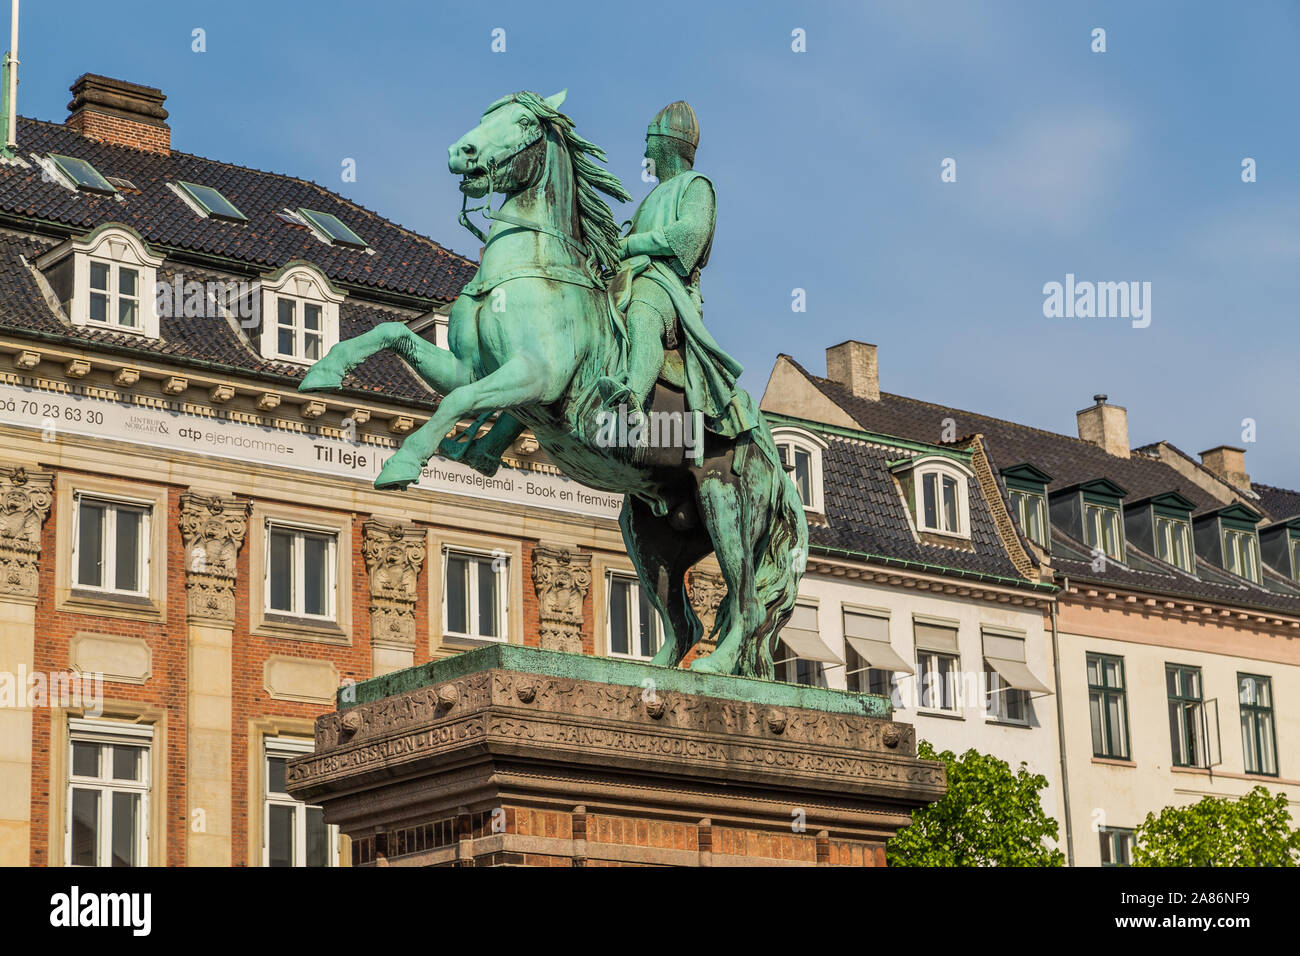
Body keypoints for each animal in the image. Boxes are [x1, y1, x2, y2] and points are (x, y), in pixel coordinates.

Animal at [300, 85, 806, 676]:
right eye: (485, 116)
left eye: (522, 122)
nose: (461, 153)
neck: (535, 267)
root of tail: (776, 457)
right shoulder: (477, 369)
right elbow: (393, 334)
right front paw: (323, 370)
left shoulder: (532, 379)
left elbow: (458, 400)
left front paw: (403, 463)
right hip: (649, 534)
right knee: (687, 623)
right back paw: (648, 674)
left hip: (725, 501)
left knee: (745, 606)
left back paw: (714, 667)